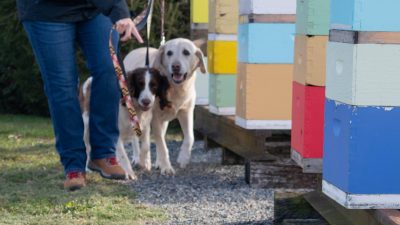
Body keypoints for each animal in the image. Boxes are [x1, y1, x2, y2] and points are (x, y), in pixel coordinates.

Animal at [124, 38, 206, 174]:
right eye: (169, 53)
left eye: (186, 52)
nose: (175, 66)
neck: (176, 89)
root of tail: (134, 50)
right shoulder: (155, 117)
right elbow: (161, 144)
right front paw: (167, 167)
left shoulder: (186, 112)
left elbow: (190, 137)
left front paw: (183, 158)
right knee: (139, 139)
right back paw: (139, 159)